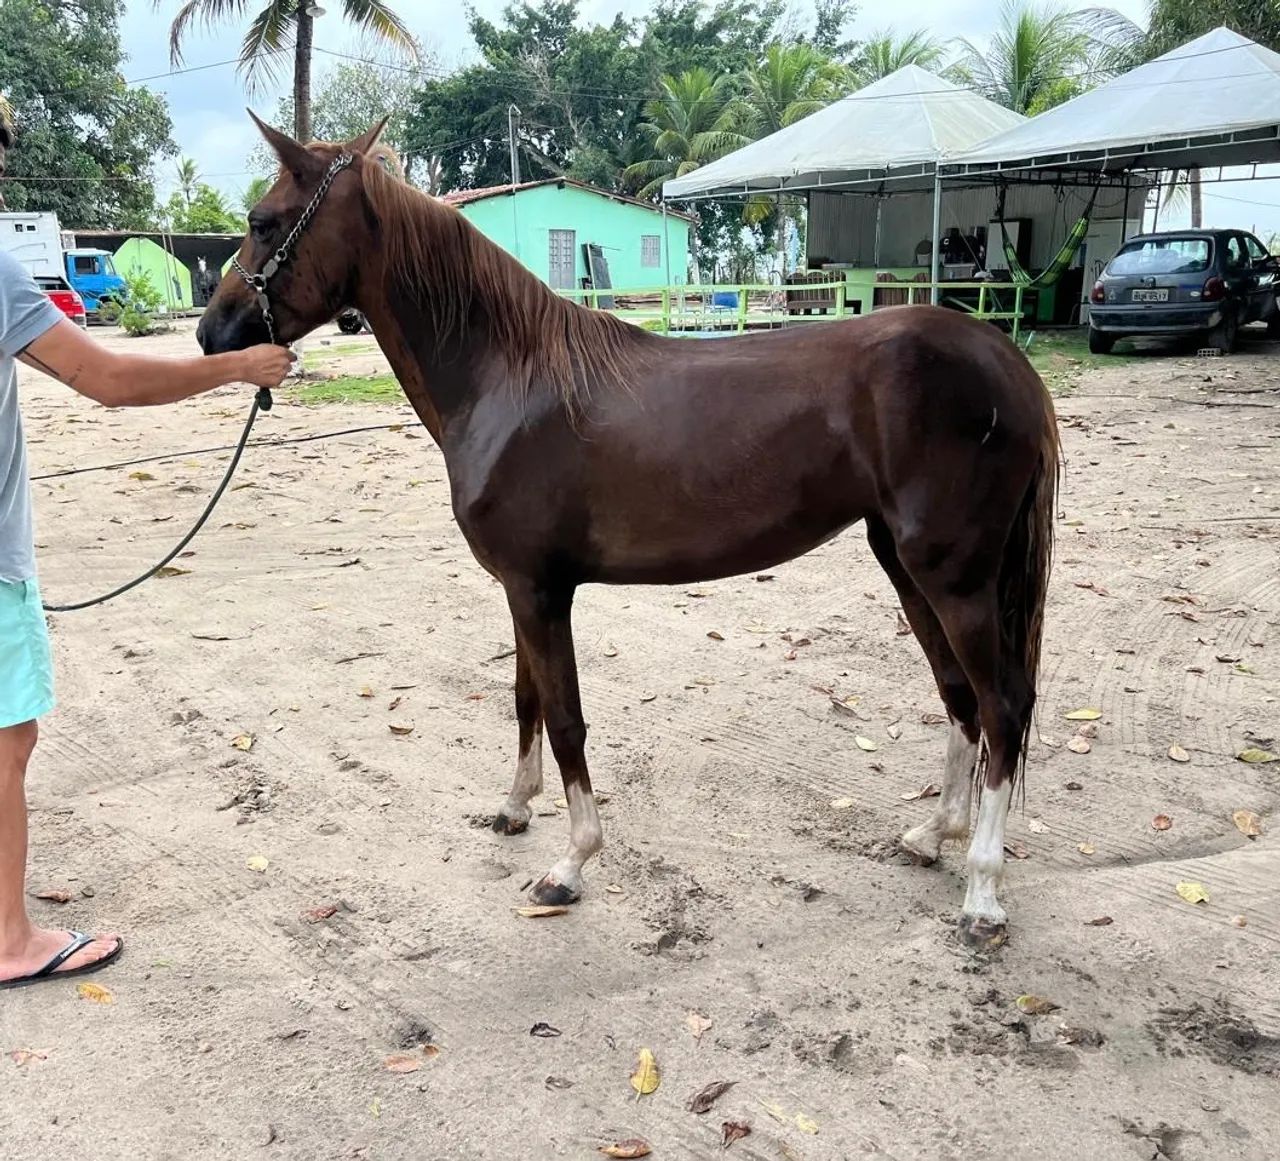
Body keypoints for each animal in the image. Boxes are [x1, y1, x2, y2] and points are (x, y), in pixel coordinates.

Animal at [198, 117, 1060, 947]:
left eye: (263, 222)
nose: (211, 332)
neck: (508, 376)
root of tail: (1004, 358)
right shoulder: (521, 589)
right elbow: (526, 700)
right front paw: (514, 808)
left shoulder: (541, 590)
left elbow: (567, 720)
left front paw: (569, 864)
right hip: (906, 565)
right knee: (960, 695)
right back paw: (932, 835)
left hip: (953, 574)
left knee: (1004, 703)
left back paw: (983, 896)